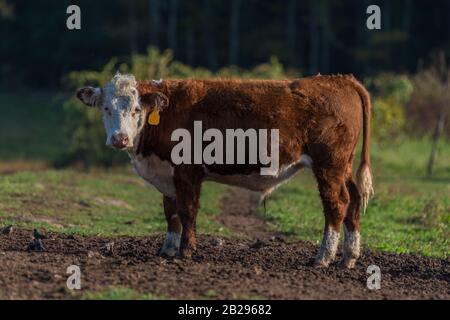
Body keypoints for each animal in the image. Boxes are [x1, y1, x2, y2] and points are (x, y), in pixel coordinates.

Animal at [76, 72, 372, 268]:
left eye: (137, 109)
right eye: (106, 108)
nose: (120, 139)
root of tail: (339, 79)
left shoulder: (187, 171)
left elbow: (187, 211)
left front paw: (185, 251)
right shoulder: (166, 174)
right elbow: (170, 213)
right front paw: (167, 249)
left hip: (329, 164)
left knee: (337, 203)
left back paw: (323, 257)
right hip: (343, 166)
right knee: (354, 200)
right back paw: (348, 257)